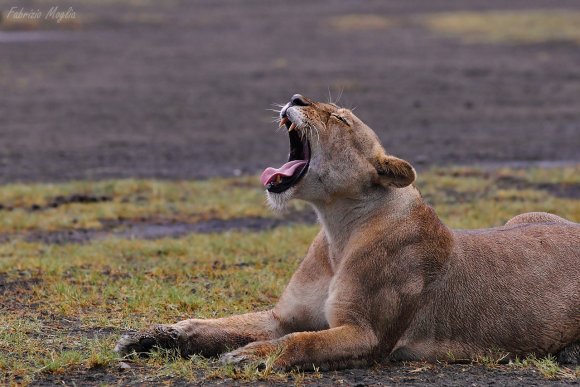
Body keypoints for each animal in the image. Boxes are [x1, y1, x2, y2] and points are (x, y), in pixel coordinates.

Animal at [114, 94, 580, 370]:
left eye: (339, 118)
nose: (296, 98)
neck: (337, 229)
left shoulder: (367, 336)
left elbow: (300, 342)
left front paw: (249, 356)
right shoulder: (282, 315)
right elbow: (220, 324)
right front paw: (151, 337)